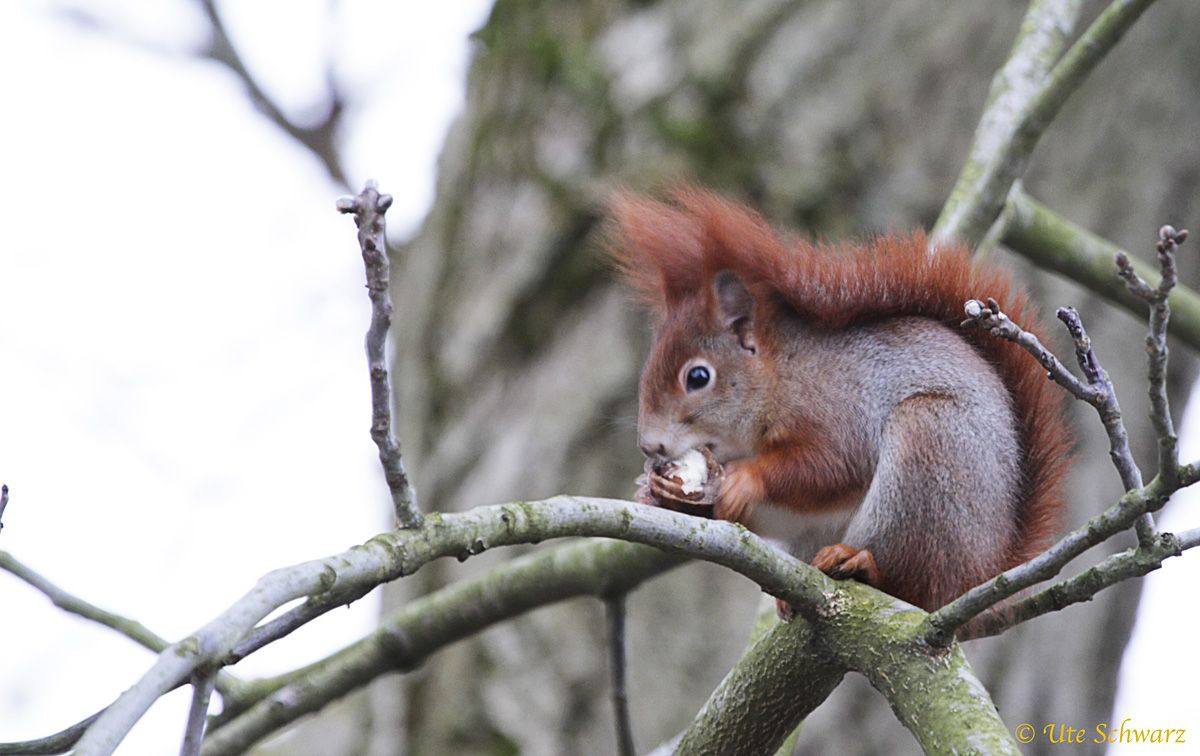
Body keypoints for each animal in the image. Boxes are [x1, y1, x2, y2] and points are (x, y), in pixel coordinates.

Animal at [609, 189, 1070, 614]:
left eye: (698, 377)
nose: (650, 445)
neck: (782, 375)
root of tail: (984, 568)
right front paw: (660, 492)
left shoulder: (840, 406)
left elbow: (833, 464)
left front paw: (745, 479)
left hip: (928, 452)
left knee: (911, 582)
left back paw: (862, 562)